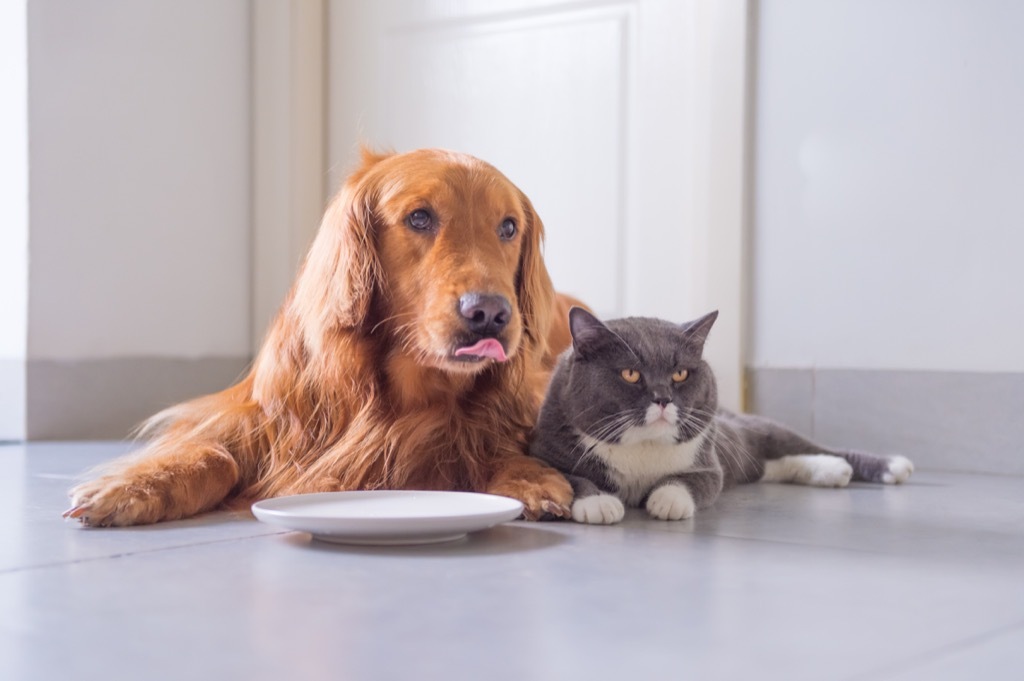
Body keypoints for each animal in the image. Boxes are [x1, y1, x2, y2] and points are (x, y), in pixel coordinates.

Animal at [66, 147, 577, 524]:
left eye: (508, 227)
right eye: (419, 218)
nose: (490, 313)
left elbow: (499, 440)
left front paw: (528, 476)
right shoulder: (259, 412)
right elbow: (215, 453)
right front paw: (135, 486)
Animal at [528, 307, 913, 524]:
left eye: (681, 374)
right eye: (631, 374)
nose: (663, 398)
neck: (641, 448)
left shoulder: (708, 464)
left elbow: (691, 481)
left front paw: (666, 500)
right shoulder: (546, 454)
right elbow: (570, 480)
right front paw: (598, 503)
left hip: (758, 429)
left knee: (812, 447)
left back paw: (886, 466)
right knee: (772, 466)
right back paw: (831, 471)